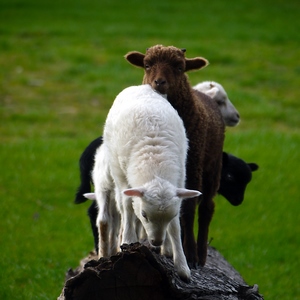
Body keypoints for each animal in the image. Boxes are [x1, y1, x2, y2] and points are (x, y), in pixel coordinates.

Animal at [96, 84, 200, 282]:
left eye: (172, 215)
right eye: (144, 214)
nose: (156, 242)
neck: (155, 163)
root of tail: (141, 87)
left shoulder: (180, 179)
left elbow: (175, 229)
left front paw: (181, 265)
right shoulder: (124, 180)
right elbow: (128, 208)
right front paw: (128, 241)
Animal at [124, 45, 225, 268]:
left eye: (180, 67)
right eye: (147, 65)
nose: (159, 82)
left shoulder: (193, 164)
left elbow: (188, 208)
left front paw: (190, 254)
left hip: (213, 166)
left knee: (207, 207)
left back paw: (201, 252)